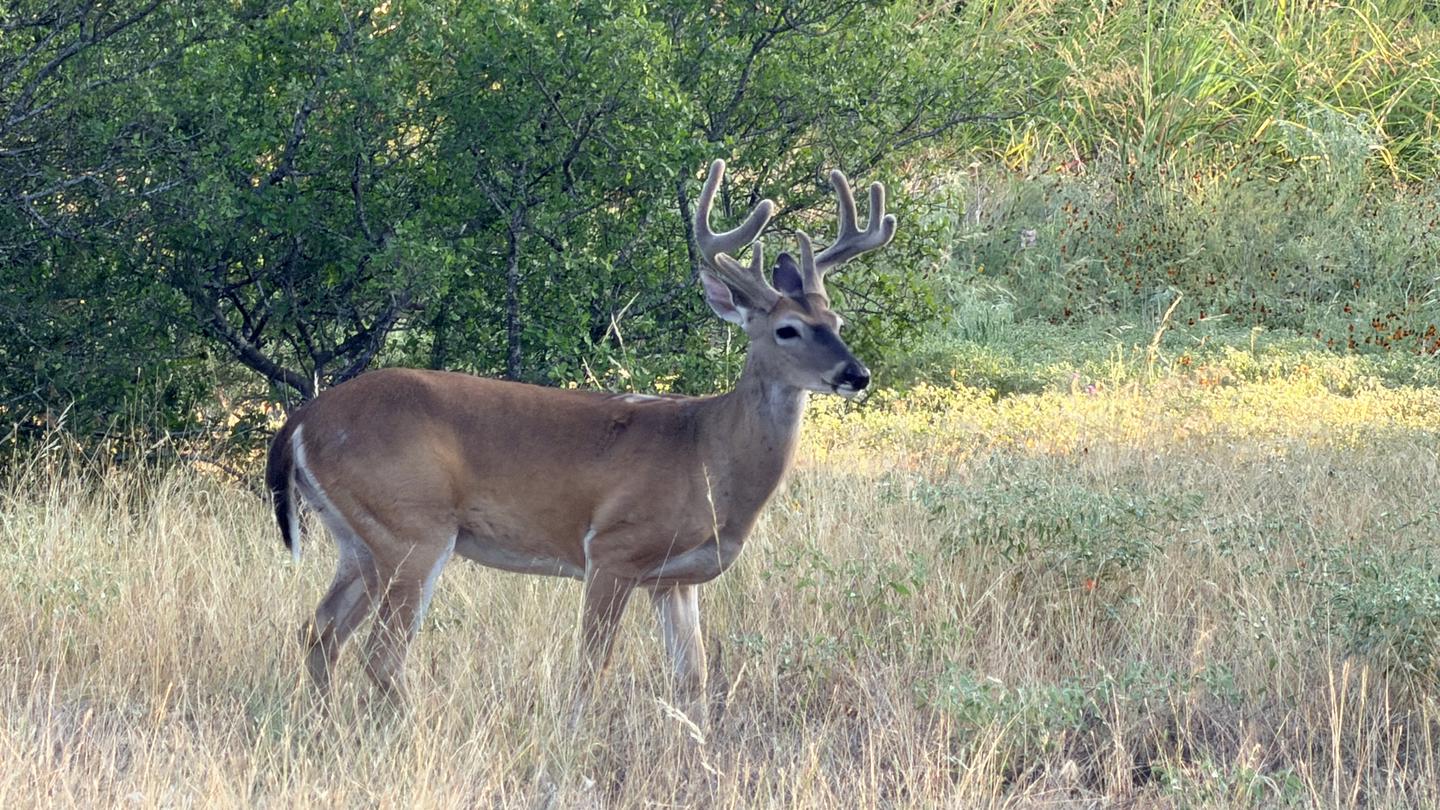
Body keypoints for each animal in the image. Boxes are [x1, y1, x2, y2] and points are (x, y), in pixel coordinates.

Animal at [264, 158, 896, 718]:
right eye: (787, 329)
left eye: (837, 323)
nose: (856, 374)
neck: (707, 454)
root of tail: (301, 421)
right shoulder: (612, 550)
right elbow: (592, 668)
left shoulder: (675, 580)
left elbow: (692, 678)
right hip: (412, 528)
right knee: (381, 653)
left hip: (360, 540)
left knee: (319, 631)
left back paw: (324, 726)